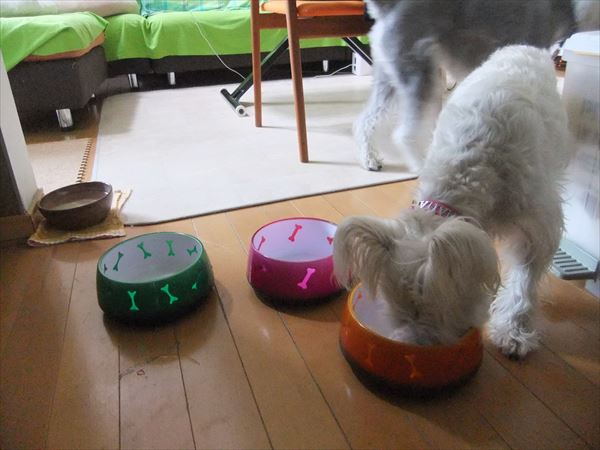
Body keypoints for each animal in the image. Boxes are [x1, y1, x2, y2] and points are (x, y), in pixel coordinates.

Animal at [334, 45, 572, 358]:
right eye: (399, 312)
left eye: (438, 309)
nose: (417, 346)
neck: (471, 167)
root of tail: (522, 47)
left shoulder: (535, 224)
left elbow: (526, 279)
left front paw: (513, 332)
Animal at [355, 0, 587, 172]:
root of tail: (388, 8)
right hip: (421, 75)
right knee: (405, 134)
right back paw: (422, 166)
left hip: (389, 77)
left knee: (365, 120)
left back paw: (370, 159)